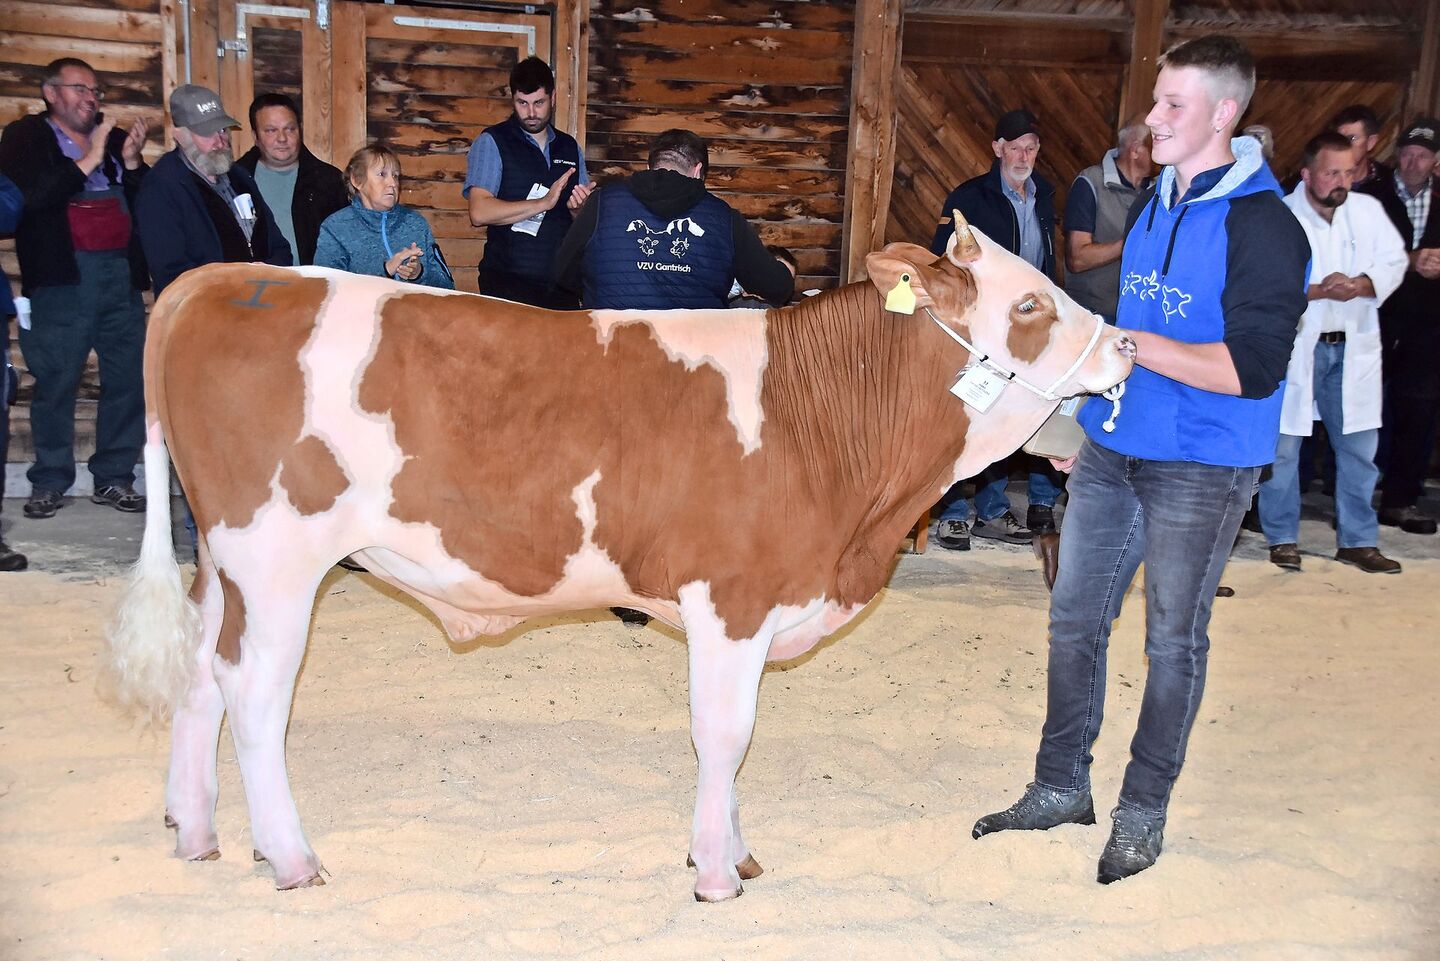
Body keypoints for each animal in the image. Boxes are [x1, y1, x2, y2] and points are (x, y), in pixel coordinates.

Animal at [107, 212, 1134, 902]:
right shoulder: (732, 598)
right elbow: (725, 733)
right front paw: (716, 872)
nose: (1127, 343)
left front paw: (734, 848)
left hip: (227, 564)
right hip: (276, 556)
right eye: (1032, 300)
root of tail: (223, 276)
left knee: (200, 673)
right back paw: (290, 855)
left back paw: (196, 830)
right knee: (251, 689)